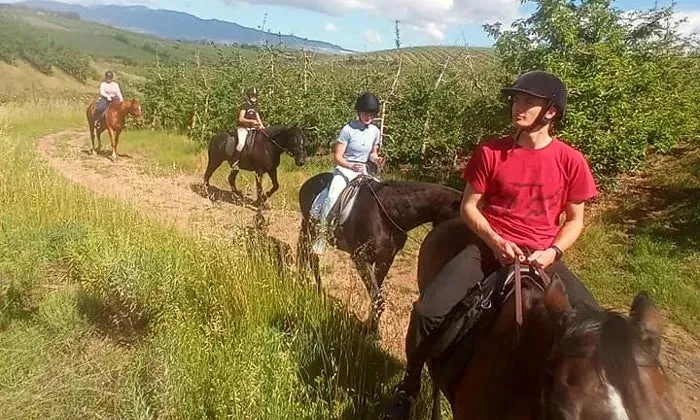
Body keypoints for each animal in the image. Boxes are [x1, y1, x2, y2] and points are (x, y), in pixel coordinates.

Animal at [298, 171, 462, 334]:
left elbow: (376, 296)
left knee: (309, 256)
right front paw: (371, 330)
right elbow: (377, 298)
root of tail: (309, 181)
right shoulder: (360, 259)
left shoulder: (385, 260)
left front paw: (371, 328)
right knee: (307, 255)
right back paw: (303, 284)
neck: (386, 214)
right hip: (310, 228)